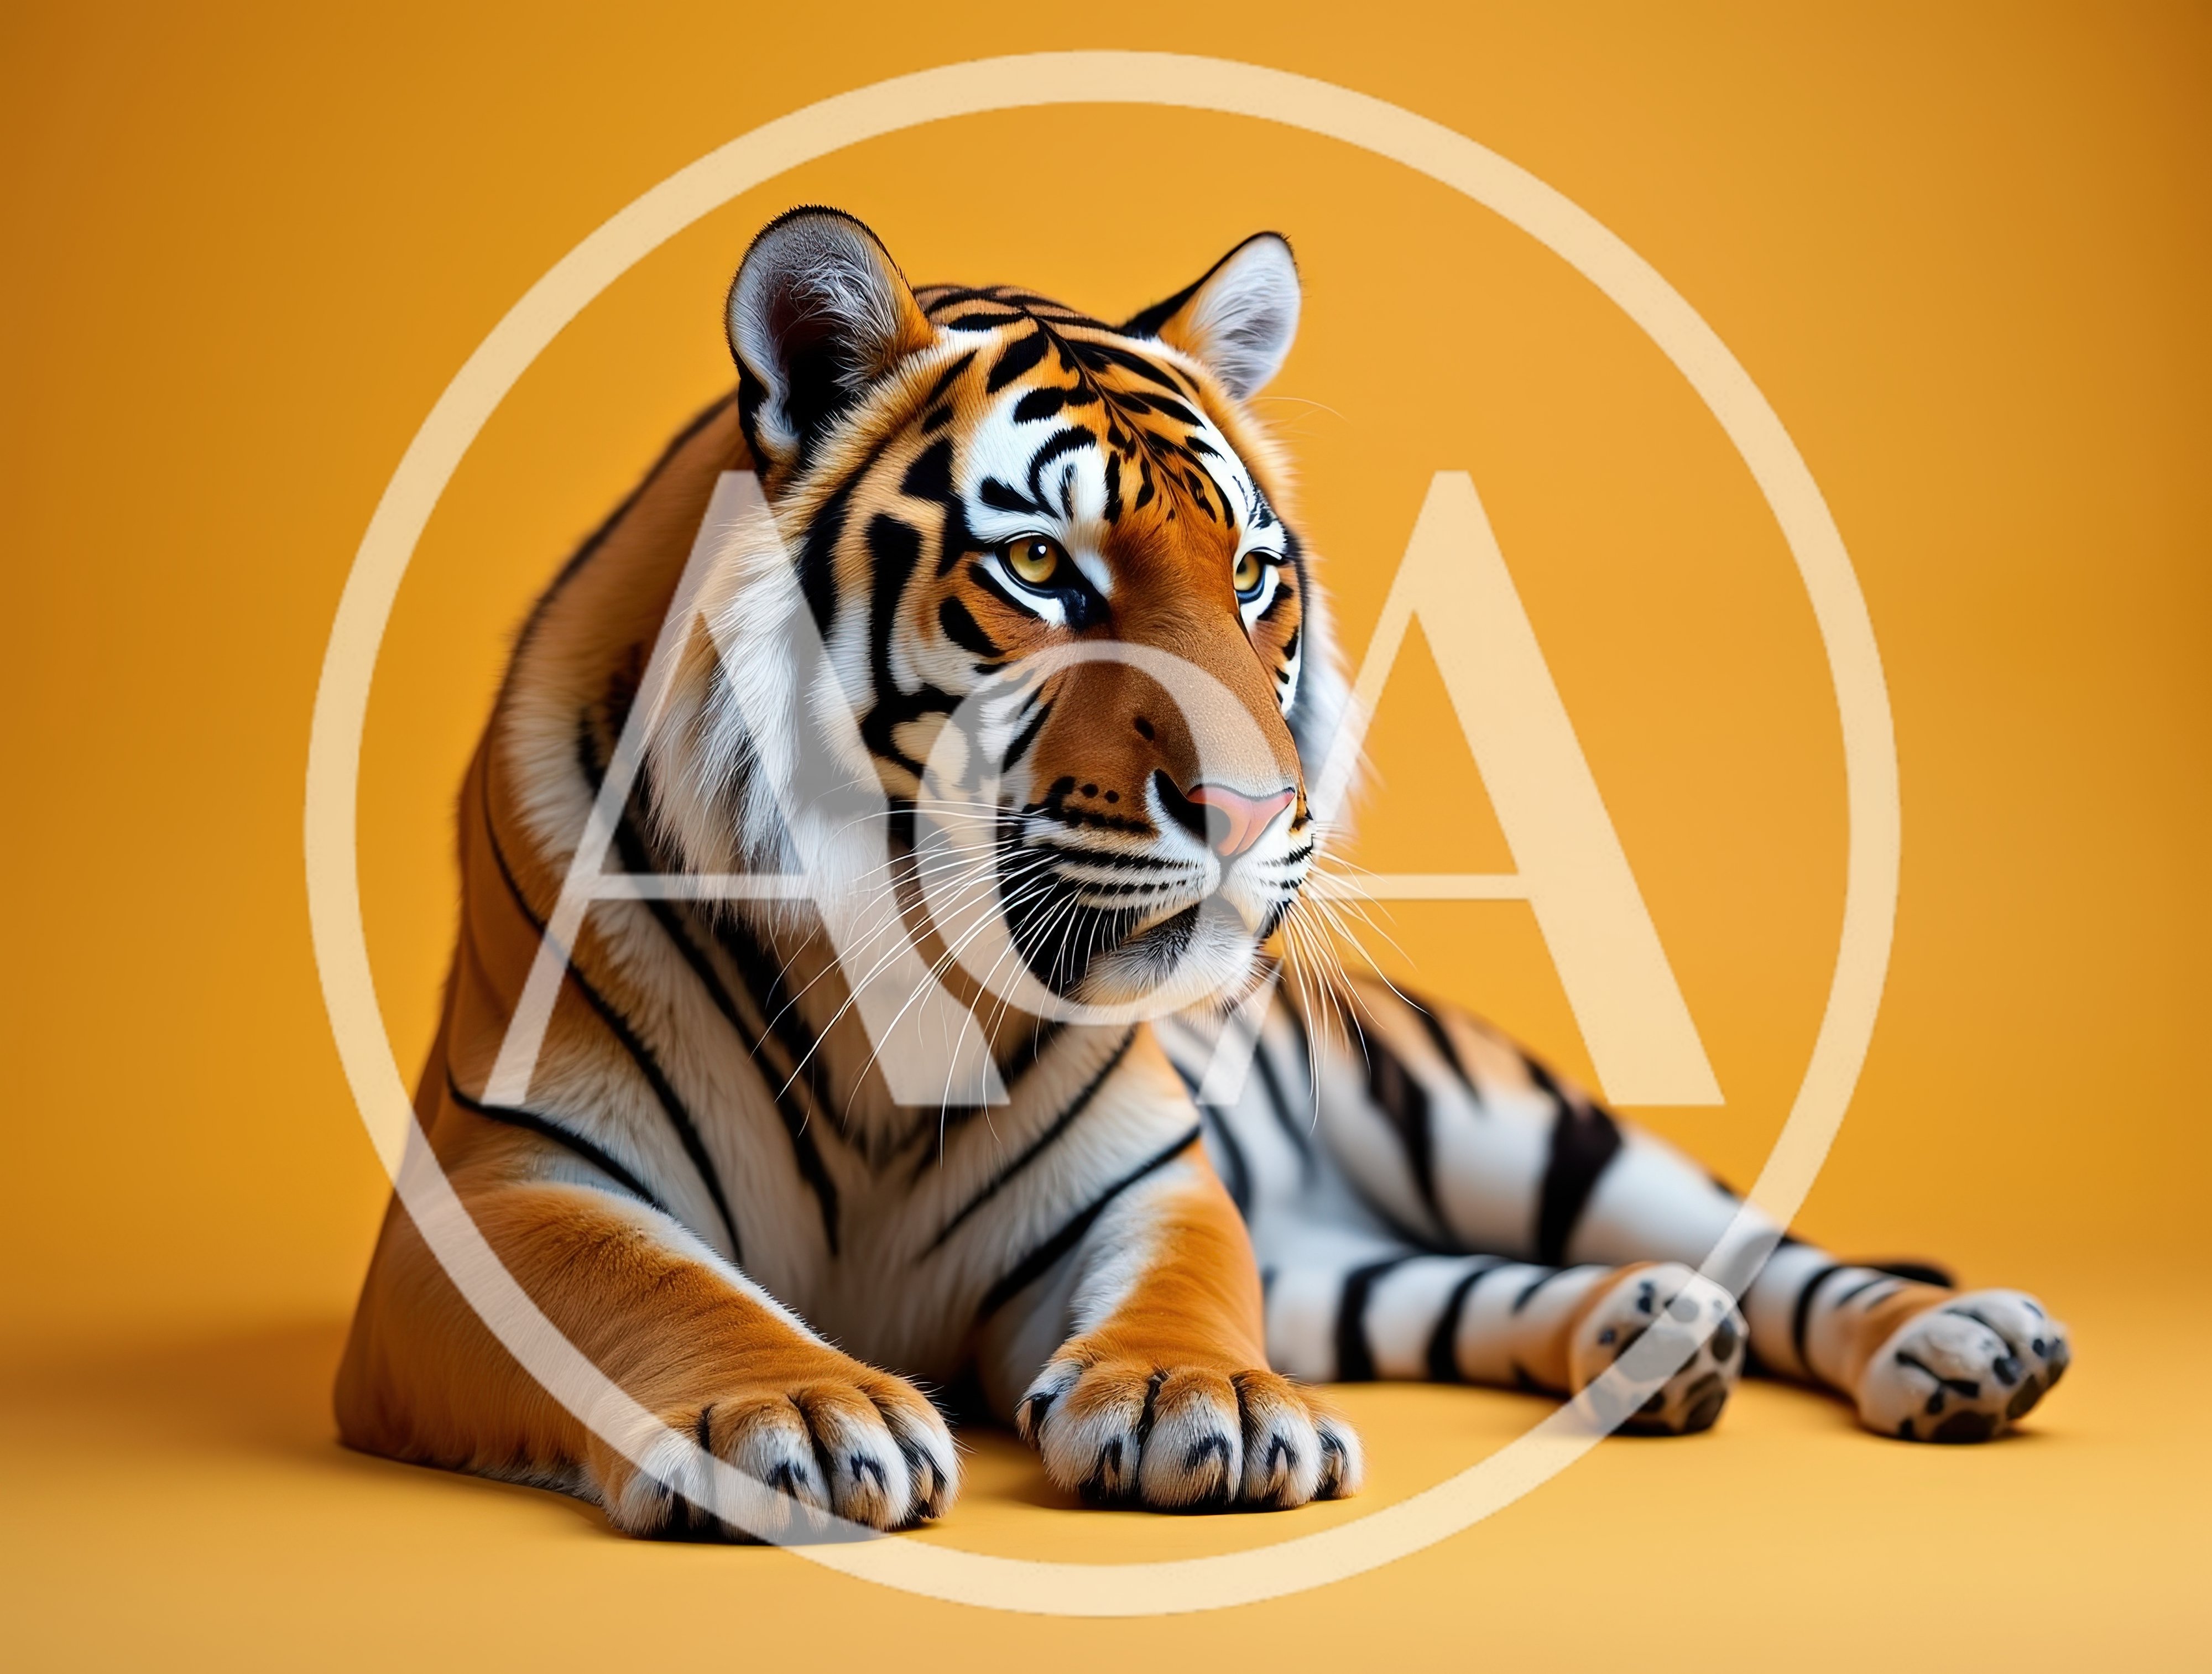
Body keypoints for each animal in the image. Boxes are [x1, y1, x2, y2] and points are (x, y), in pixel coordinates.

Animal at [335, 206, 2073, 1535]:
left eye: (1248, 576)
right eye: (1040, 564)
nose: (1248, 809)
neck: (897, 986)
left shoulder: (1153, 1173)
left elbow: (1184, 1285)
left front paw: (1203, 1400)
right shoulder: (497, 1193)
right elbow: (658, 1287)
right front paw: (802, 1413)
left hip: (1507, 1126)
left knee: (1760, 1243)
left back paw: (1958, 1339)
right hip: (1349, 1265)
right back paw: (1650, 1335)